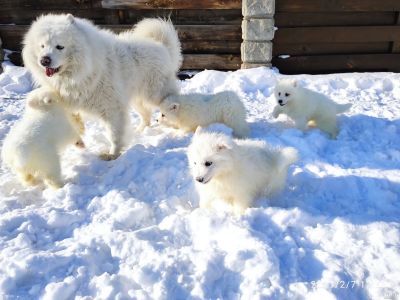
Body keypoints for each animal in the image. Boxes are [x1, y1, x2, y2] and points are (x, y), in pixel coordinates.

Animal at [22, 14, 182, 159]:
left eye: (59, 46)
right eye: (42, 46)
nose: (44, 60)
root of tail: (161, 46)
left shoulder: (112, 108)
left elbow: (114, 134)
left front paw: (112, 155)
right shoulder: (69, 96)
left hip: (156, 94)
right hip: (136, 99)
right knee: (146, 115)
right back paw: (141, 130)